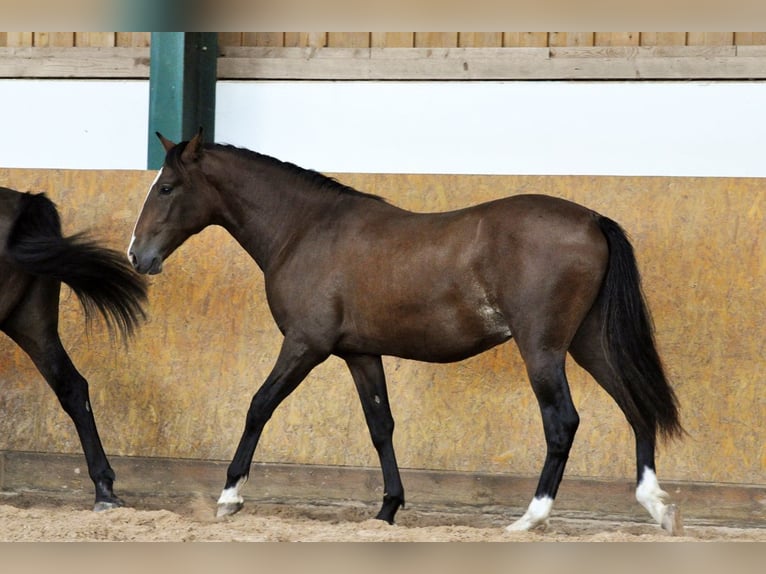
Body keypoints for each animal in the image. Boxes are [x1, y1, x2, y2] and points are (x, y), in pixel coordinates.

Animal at [129, 132, 688, 536]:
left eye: (167, 187)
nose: (138, 256)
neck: (306, 228)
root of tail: (592, 219)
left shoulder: (306, 346)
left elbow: (258, 406)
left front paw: (229, 497)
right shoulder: (360, 354)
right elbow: (381, 427)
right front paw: (387, 510)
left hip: (543, 350)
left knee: (562, 423)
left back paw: (530, 518)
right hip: (588, 345)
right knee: (635, 407)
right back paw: (656, 507)